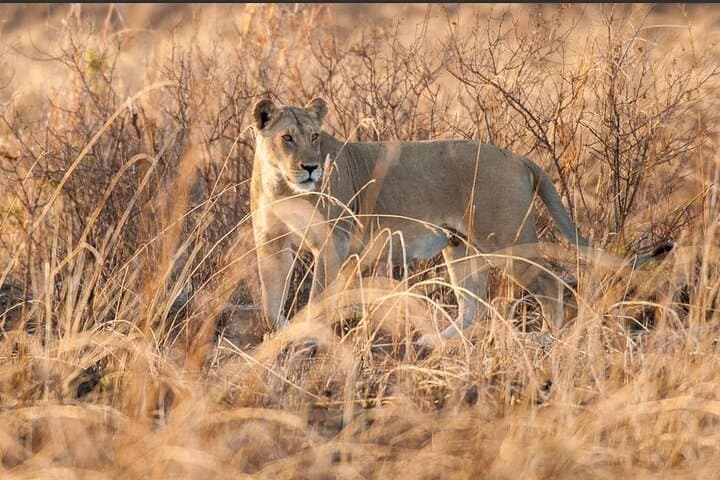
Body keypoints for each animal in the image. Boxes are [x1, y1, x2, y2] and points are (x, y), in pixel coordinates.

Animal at [250, 97, 670, 344]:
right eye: (287, 138)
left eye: (315, 137)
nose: (311, 168)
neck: (282, 185)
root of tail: (519, 158)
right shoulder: (271, 243)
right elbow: (271, 299)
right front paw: (278, 335)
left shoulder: (333, 243)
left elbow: (317, 295)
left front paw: (304, 334)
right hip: (459, 246)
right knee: (473, 303)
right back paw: (436, 340)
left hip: (505, 241)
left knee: (550, 285)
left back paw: (547, 341)